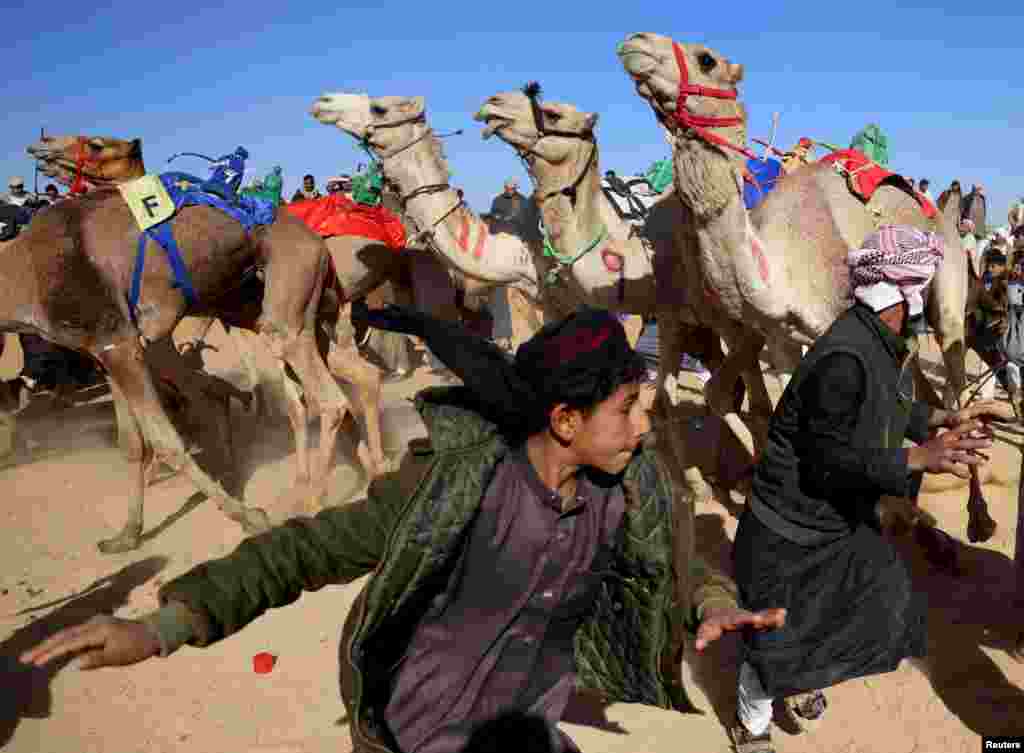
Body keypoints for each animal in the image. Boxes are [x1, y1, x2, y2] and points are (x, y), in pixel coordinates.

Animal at [614, 32, 999, 545]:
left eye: (706, 60)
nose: (635, 43)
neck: (781, 262)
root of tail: (944, 212)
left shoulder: (837, 321)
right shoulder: (779, 336)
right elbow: (768, 404)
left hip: (953, 287)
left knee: (954, 374)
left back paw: (977, 518)